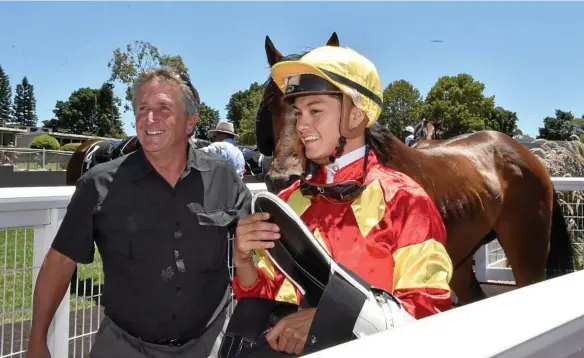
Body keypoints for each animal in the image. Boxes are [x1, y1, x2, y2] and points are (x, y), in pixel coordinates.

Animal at [256, 32, 576, 304]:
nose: (282, 177)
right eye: (271, 103)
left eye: (315, 107)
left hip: (527, 251)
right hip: (460, 260)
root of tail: (527, 155)